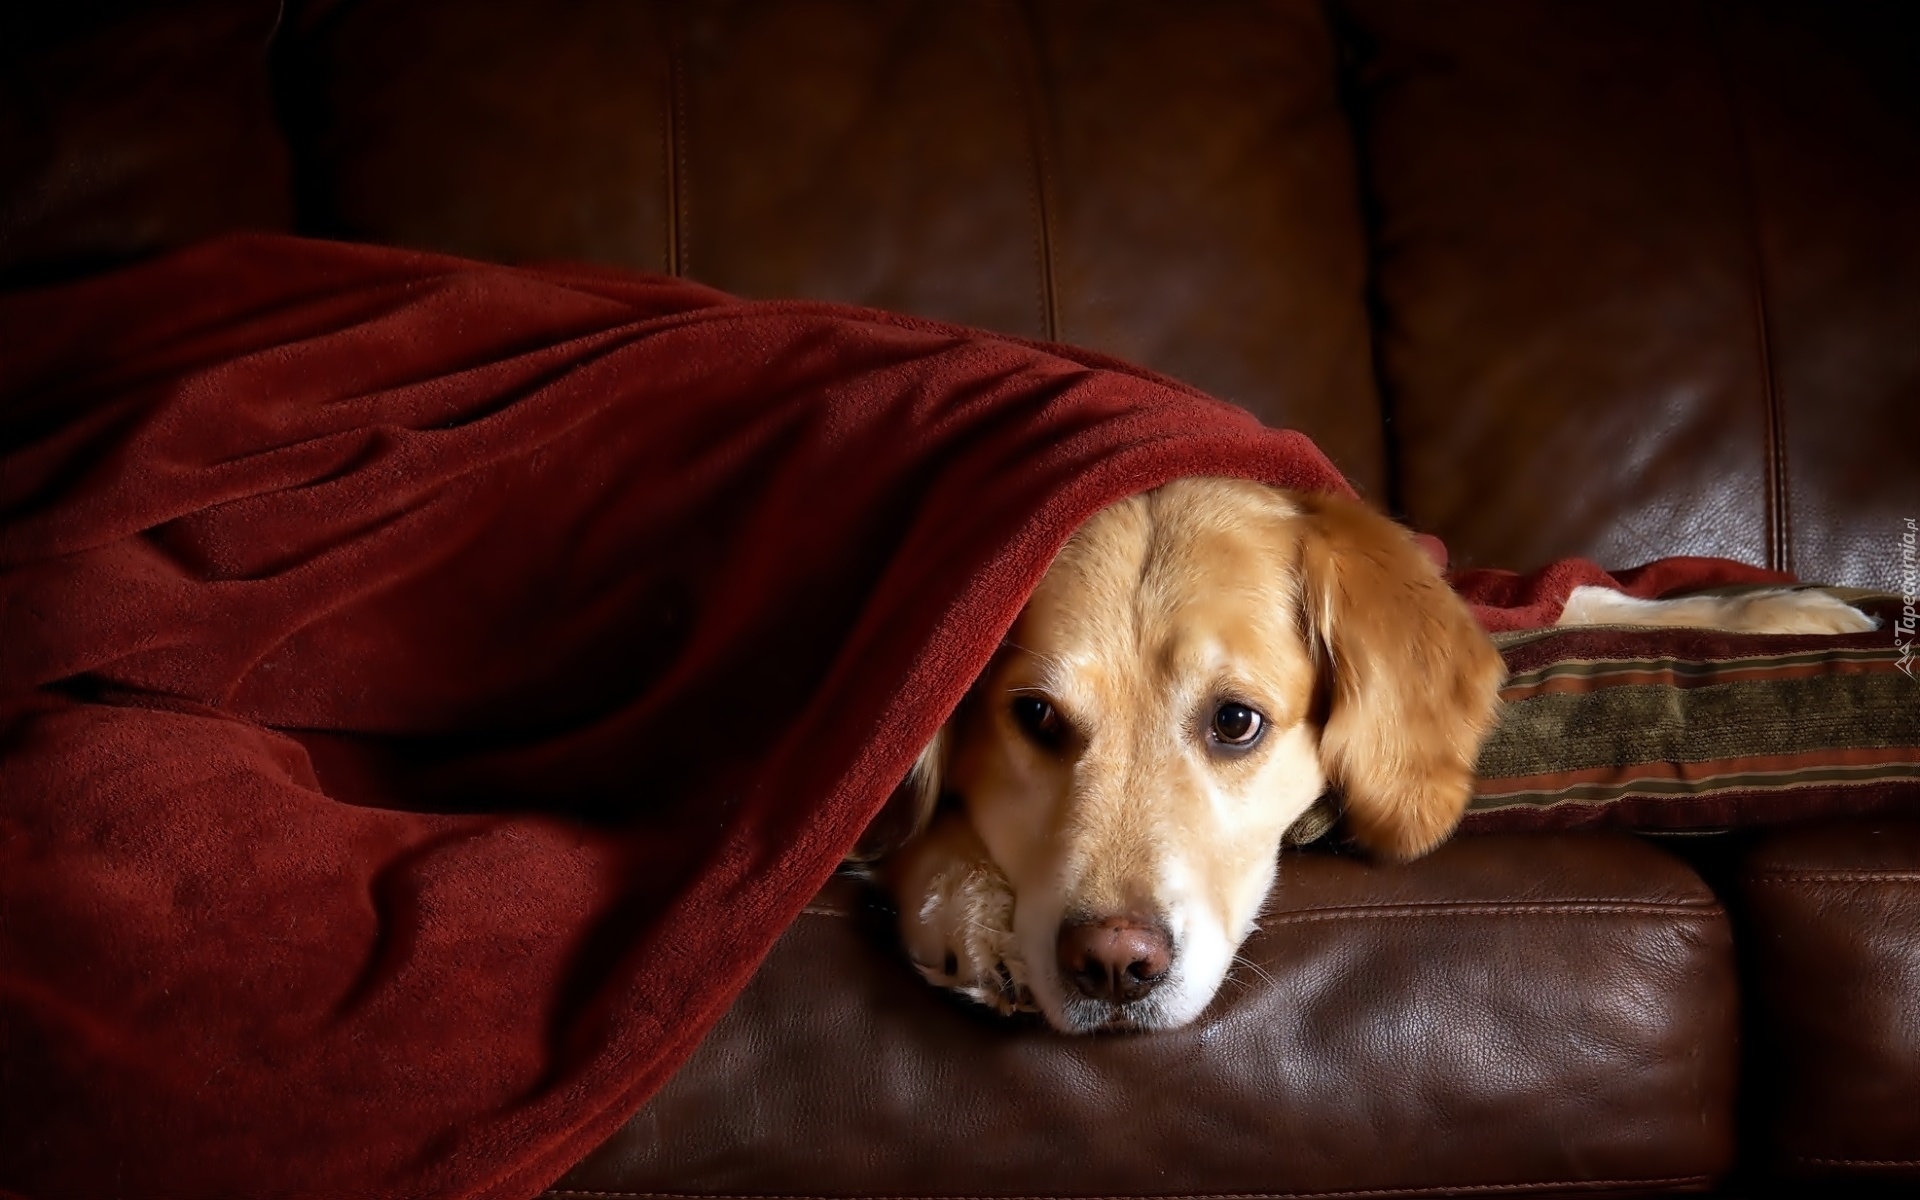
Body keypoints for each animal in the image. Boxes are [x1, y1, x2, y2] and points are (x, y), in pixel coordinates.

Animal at [867, 474, 1873, 1029]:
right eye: (1036, 718)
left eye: (1236, 722)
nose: (1115, 965)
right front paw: (973, 911)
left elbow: (1578, 602)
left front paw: (1785, 609)